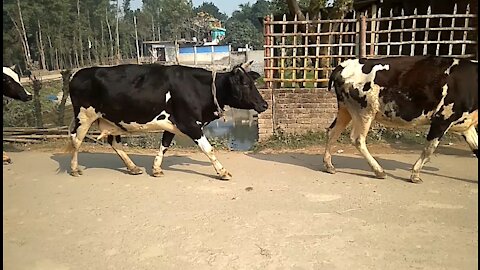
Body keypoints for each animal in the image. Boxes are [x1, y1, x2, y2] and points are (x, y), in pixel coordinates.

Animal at [67, 61, 268, 179]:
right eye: (245, 84)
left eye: (253, 83)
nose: (265, 104)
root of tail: (77, 74)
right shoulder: (189, 123)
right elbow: (208, 149)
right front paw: (222, 171)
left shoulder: (172, 124)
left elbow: (164, 145)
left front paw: (156, 168)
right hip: (84, 116)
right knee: (76, 140)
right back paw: (75, 169)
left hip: (112, 120)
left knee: (114, 143)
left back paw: (133, 167)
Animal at [324, 56, 478, 184]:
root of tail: (344, 65)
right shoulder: (442, 119)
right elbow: (429, 149)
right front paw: (415, 175)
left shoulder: (467, 125)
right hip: (364, 111)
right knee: (357, 139)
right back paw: (379, 171)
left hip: (346, 109)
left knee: (333, 132)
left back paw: (329, 166)